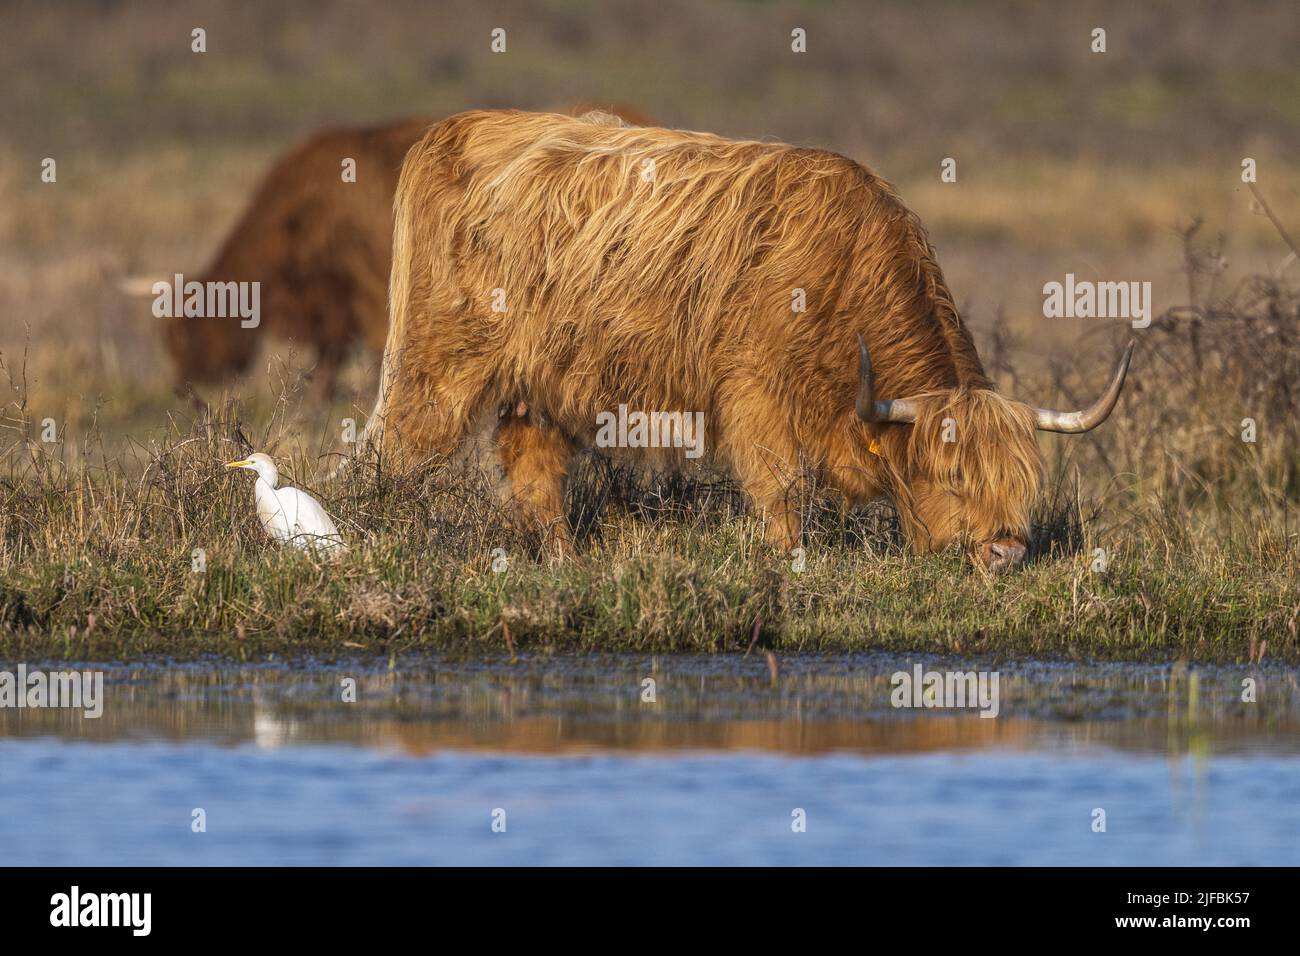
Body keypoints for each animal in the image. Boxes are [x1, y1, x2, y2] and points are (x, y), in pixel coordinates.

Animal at [366, 110, 1128, 567]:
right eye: (954, 475)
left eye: (1022, 480)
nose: (1006, 553)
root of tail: (456, 127)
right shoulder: (756, 394)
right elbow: (781, 489)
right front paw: (790, 565)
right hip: (437, 363)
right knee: (394, 448)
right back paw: (376, 536)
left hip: (544, 380)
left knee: (533, 464)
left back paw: (565, 562)